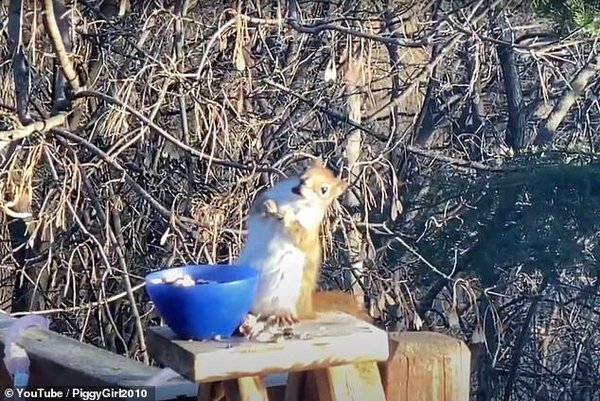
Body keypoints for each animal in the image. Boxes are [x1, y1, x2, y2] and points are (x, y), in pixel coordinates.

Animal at [234, 158, 370, 326]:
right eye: (305, 170)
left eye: (324, 189)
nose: (303, 182)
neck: (295, 200)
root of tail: (306, 308)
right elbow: (257, 208)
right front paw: (268, 205)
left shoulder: (309, 228)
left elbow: (299, 236)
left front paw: (288, 217)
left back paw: (281, 315)